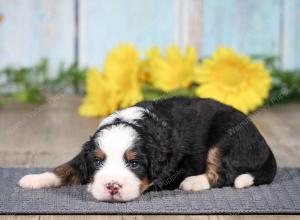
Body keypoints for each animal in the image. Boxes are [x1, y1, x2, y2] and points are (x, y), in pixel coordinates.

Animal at [18, 96, 276, 201]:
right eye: (98, 161)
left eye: (134, 163)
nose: (112, 187)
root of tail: (265, 147)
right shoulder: (84, 154)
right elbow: (65, 167)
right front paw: (34, 179)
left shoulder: (173, 169)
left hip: (226, 137)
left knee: (224, 173)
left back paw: (194, 182)